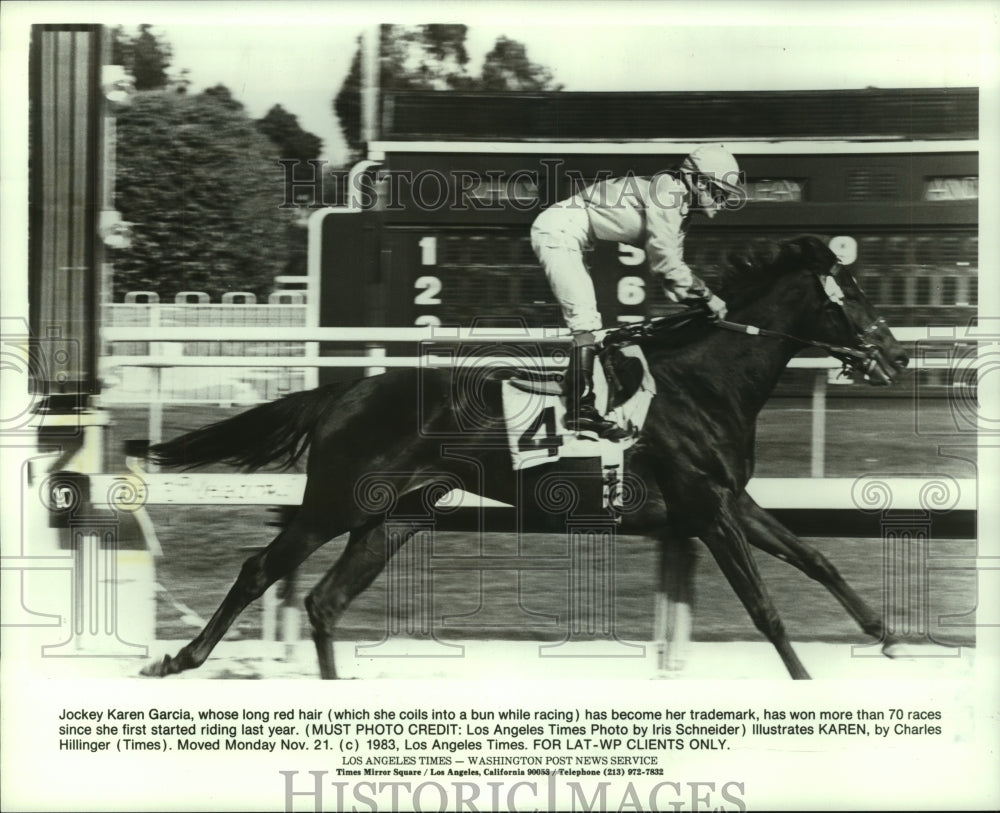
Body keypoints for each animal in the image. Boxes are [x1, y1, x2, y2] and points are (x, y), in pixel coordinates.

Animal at [137, 235, 912, 680]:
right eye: (851, 296)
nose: (897, 354)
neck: (701, 381)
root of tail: (343, 391)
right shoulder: (706, 508)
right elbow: (765, 607)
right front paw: (804, 679)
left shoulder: (732, 500)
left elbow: (817, 559)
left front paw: (889, 635)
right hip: (334, 501)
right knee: (260, 569)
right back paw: (181, 657)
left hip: (395, 517)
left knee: (326, 599)